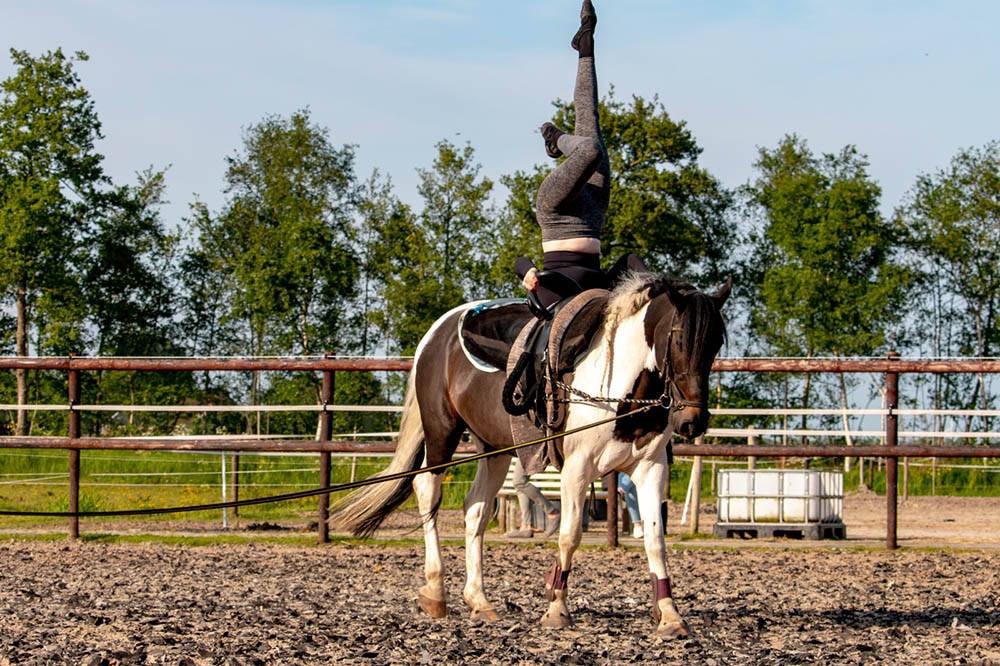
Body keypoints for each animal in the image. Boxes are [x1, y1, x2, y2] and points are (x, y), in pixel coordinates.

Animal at [332, 274, 732, 640]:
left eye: (715, 344)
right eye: (679, 338)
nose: (693, 421)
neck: (619, 385)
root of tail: (438, 331)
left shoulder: (650, 469)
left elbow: (655, 540)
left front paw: (670, 615)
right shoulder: (577, 469)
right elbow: (569, 535)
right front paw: (557, 610)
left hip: (493, 448)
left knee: (475, 510)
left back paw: (479, 600)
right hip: (441, 433)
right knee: (427, 491)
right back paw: (435, 591)